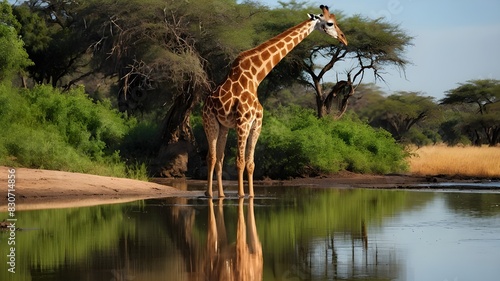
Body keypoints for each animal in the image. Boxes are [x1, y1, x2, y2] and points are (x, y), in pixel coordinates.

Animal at [203, 4, 348, 197]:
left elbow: (251, 163)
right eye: (330, 23)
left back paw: (220, 194)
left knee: (218, 158)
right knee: (211, 157)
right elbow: (240, 161)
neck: (256, 77)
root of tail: (205, 103)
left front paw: (251, 195)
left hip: (223, 125)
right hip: (210, 121)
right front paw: (241, 194)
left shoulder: (256, 123)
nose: (344, 39)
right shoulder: (244, 122)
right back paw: (209, 193)